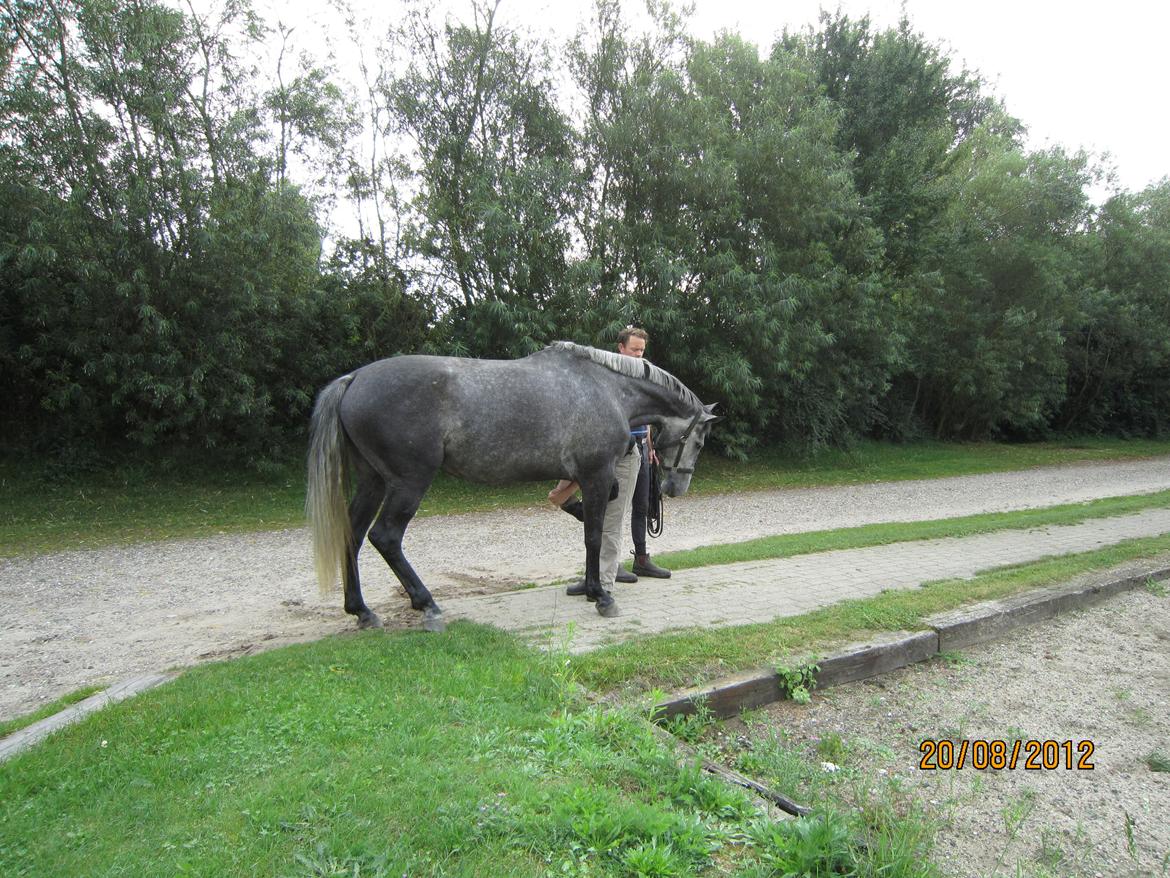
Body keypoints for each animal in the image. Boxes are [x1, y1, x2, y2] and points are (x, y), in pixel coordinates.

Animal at [306, 339, 716, 627]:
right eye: (698, 441)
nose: (675, 489)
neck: (608, 390)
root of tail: (354, 379)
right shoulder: (596, 475)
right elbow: (595, 535)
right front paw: (601, 597)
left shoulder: (589, 478)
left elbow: (588, 522)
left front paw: (590, 587)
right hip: (408, 483)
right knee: (386, 537)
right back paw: (427, 604)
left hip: (372, 481)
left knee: (353, 535)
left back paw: (362, 611)